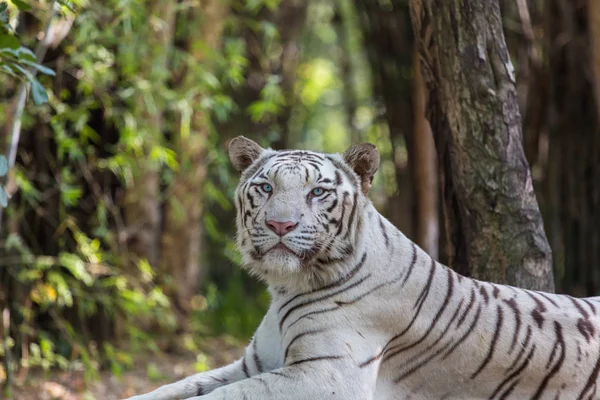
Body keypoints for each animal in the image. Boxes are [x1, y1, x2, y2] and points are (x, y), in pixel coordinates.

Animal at [126, 138, 600, 400]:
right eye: (265, 187)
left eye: (318, 192)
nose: (281, 224)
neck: (286, 287)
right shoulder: (253, 363)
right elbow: (176, 388)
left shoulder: (324, 375)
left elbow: (223, 398)